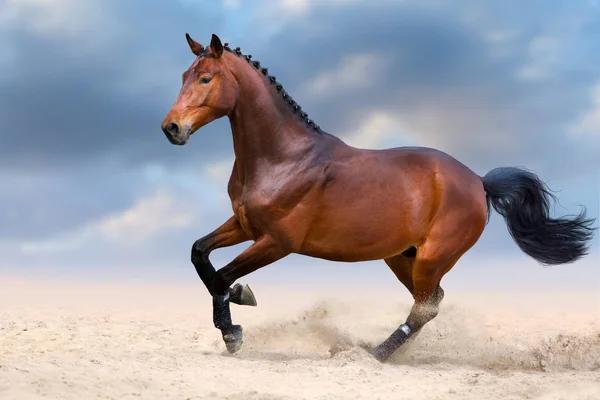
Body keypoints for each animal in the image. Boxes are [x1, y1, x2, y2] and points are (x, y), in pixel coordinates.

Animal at [159, 32, 596, 360]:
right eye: (183, 75)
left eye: (206, 78)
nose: (172, 128)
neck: (283, 157)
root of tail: (478, 181)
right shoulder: (245, 225)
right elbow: (200, 254)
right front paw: (236, 305)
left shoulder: (278, 241)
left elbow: (222, 275)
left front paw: (233, 329)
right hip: (402, 257)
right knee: (431, 301)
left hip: (432, 258)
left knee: (425, 308)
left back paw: (376, 354)